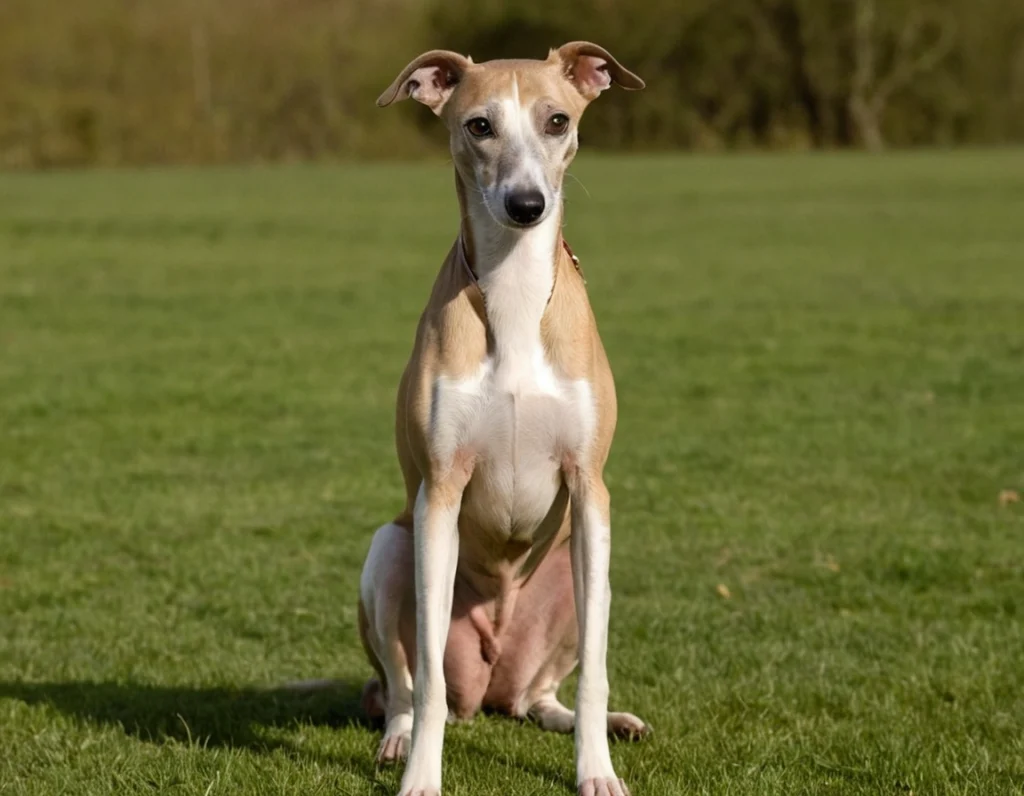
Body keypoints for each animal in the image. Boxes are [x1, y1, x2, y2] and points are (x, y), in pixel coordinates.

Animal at [360, 43, 647, 794]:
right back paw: (399, 738)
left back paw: (597, 724)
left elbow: (598, 672)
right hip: (389, 551)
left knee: (544, 695)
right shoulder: (440, 492)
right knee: (405, 685)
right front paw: (422, 779)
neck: (515, 294)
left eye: (557, 120)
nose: (526, 205)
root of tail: (493, 679)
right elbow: (428, 678)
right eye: (479, 125)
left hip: (580, 579)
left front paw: (597, 772)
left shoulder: (590, 489)